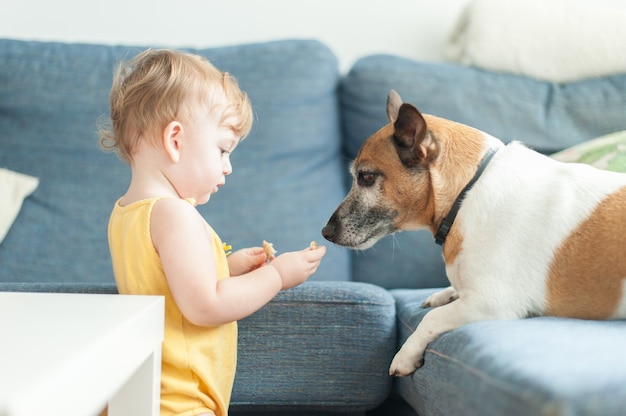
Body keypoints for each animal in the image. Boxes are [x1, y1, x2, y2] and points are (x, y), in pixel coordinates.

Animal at [322, 90, 624, 376]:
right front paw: (445, 293)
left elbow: (432, 319)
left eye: (367, 178)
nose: (325, 232)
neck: (467, 190)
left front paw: (406, 355)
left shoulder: (492, 303)